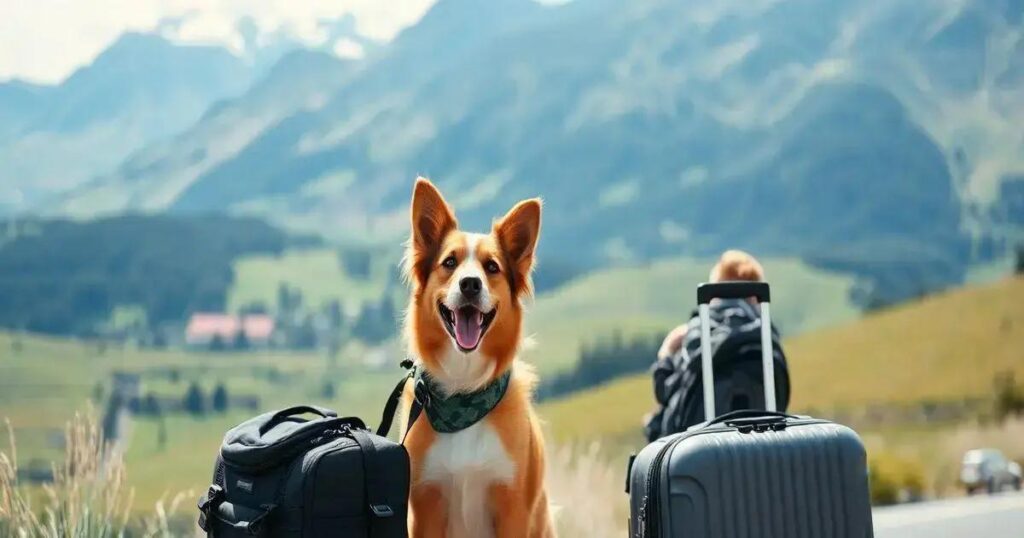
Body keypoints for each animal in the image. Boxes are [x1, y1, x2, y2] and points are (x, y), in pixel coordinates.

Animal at [399, 177, 557, 536]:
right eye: (449, 263)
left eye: (492, 267)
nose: (470, 284)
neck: (464, 391)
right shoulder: (426, 505)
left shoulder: (513, 508)